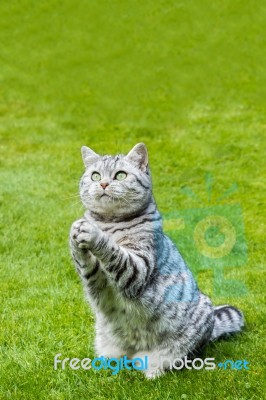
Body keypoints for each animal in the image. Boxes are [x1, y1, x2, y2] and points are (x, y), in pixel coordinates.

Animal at [69, 143, 244, 378]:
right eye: (95, 175)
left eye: (120, 175)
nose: (104, 183)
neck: (109, 222)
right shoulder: (95, 278)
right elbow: (85, 262)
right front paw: (76, 232)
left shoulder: (138, 268)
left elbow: (114, 251)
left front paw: (94, 233)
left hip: (172, 349)